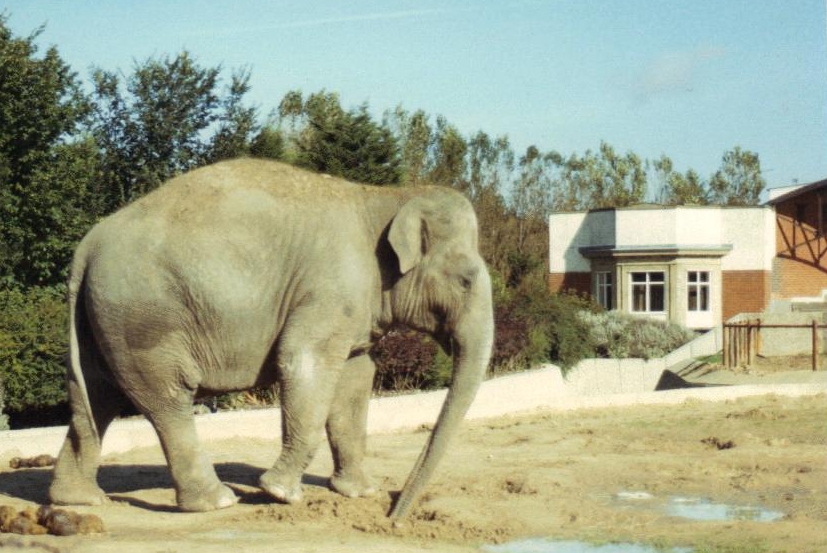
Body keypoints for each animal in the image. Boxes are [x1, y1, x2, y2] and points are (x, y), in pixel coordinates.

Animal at [48, 158, 494, 518]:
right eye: (466, 281)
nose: (394, 514)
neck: (386, 197)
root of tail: (88, 245)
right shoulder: (330, 288)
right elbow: (304, 362)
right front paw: (280, 493)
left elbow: (355, 379)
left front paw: (359, 493)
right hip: (146, 319)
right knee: (168, 400)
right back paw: (217, 502)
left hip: (102, 318)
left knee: (94, 397)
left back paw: (80, 500)